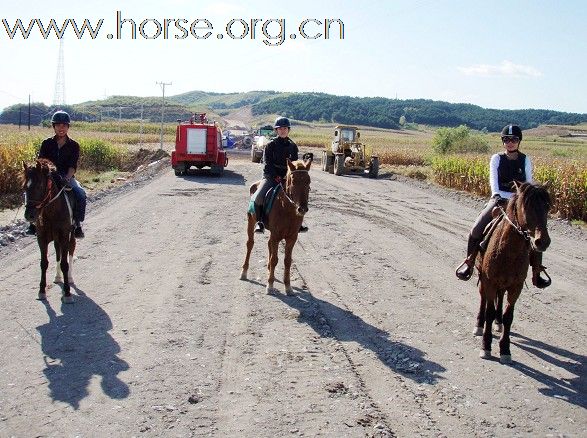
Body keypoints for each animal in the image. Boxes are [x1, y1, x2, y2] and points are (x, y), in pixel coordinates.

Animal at [23, 159, 77, 302]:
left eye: (39, 186)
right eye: (24, 187)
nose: (29, 215)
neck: (52, 211)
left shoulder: (64, 236)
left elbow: (65, 264)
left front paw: (67, 293)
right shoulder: (41, 238)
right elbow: (44, 263)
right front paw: (41, 291)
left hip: (71, 236)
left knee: (70, 252)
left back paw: (70, 278)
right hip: (56, 240)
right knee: (58, 254)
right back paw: (58, 277)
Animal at [240, 157, 312, 294]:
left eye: (308, 181)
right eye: (293, 181)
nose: (302, 209)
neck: (287, 209)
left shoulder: (291, 238)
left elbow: (287, 261)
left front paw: (288, 286)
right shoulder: (276, 235)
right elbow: (274, 259)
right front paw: (270, 285)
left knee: (268, 245)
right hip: (251, 222)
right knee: (250, 244)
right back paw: (244, 272)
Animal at [476, 181, 552, 362]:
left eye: (547, 206)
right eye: (526, 205)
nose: (542, 241)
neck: (509, 251)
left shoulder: (515, 286)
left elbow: (508, 316)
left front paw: (505, 349)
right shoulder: (489, 281)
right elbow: (489, 312)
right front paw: (486, 346)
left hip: (503, 284)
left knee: (500, 300)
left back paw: (498, 323)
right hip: (483, 278)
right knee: (483, 300)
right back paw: (479, 325)